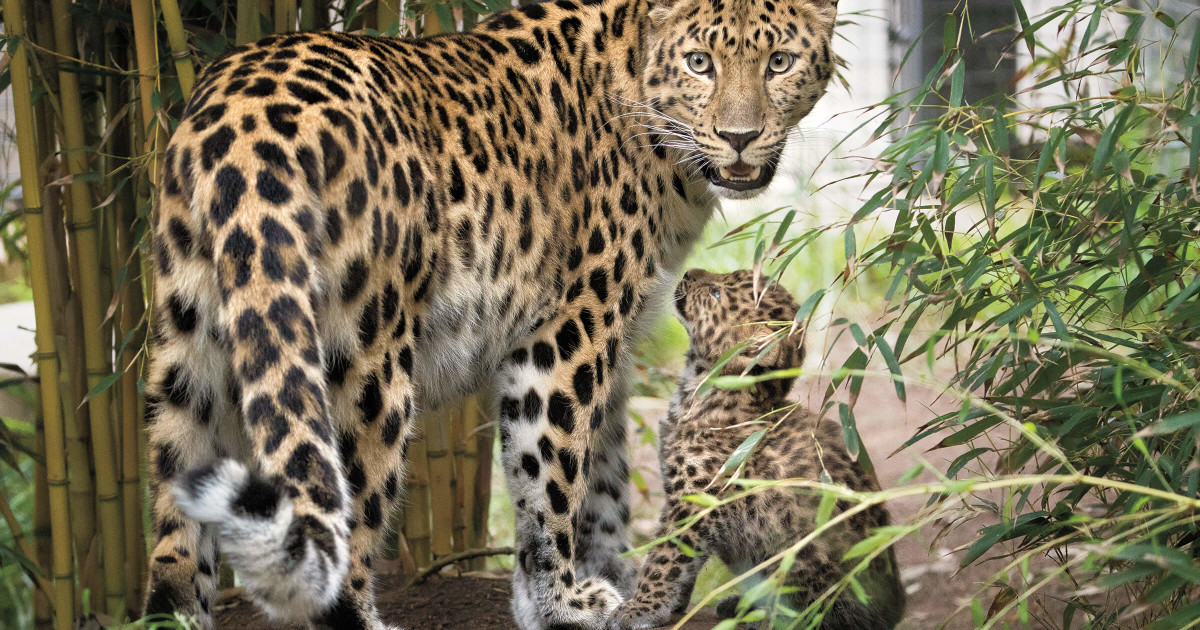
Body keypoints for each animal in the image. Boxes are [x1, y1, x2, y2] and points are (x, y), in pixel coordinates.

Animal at [139, 0, 839, 628]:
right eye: (700, 63)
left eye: (779, 62)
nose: (740, 139)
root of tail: (245, 117)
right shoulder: (569, 333)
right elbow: (551, 474)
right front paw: (563, 601)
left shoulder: (611, 342)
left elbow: (605, 472)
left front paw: (613, 577)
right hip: (366, 368)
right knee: (342, 531)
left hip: (190, 351)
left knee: (178, 545)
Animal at [608, 269, 905, 630]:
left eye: (715, 292)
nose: (690, 272)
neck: (703, 389)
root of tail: (892, 611)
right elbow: (679, 560)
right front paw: (671, 606)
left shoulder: (694, 503)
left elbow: (664, 559)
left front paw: (640, 607)